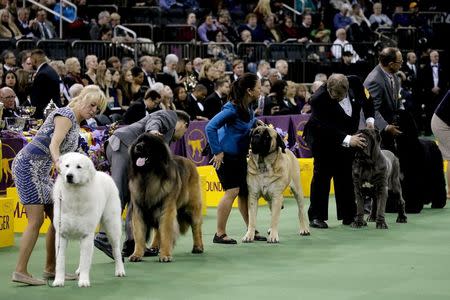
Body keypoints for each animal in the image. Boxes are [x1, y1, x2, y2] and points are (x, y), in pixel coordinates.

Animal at [52, 154, 125, 288]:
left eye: (78, 167)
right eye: (67, 166)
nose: (69, 176)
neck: (74, 194)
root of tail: (105, 174)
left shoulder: (87, 235)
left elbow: (85, 260)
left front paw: (84, 281)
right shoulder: (61, 235)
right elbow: (60, 261)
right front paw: (58, 281)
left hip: (112, 226)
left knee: (116, 250)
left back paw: (120, 271)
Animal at [127, 134, 203, 262]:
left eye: (148, 143)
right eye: (138, 141)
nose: (138, 147)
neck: (148, 176)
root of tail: (190, 162)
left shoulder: (167, 210)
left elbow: (166, 232)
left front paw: (165, 254)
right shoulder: (139, 211)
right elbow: (139, 235)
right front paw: (136, 254)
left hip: (192, 208)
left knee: (196, 227)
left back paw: (198, 247)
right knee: (157, 231)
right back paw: (154, 247)